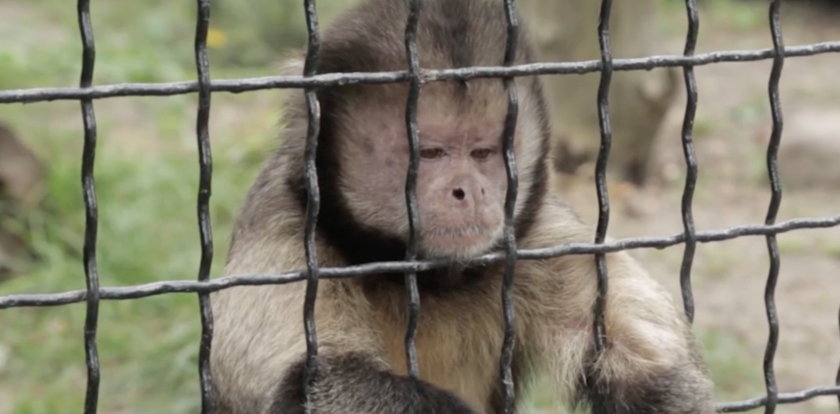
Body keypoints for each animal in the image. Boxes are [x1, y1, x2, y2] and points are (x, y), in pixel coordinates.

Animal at [212, 0, 716, 414]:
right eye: (430, 153)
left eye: (484, 153)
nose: (468, 191)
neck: (427, 280)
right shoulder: (287, 233)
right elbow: (311, 382)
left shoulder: (537, 235)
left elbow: (648, 365)